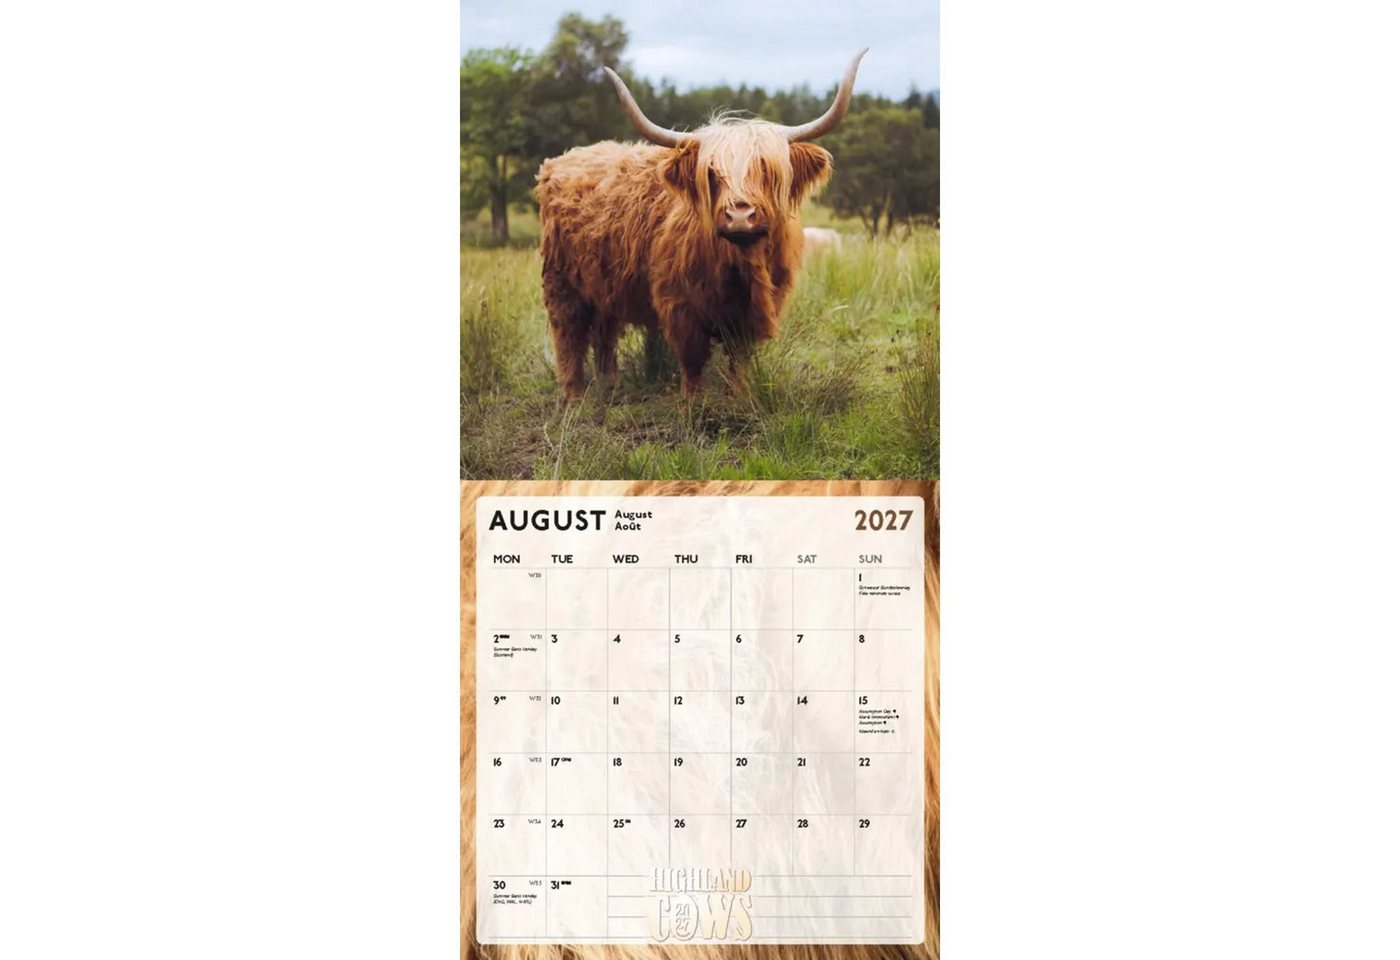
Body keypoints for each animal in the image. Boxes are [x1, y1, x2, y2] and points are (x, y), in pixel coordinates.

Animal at [535, 50, 867, 399]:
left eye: (766, 170)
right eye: (711, 173)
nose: (739, 216)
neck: (740, 267)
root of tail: (563, 158)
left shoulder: (751, 313)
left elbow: (739, 358)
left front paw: (739, 396)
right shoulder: (681, 306)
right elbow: (692, 359)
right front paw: (694, 403)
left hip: (604, 283)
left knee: (605, 331)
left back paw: (609, 386)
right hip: (561, 281)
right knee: (568, 334)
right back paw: (573, 395)